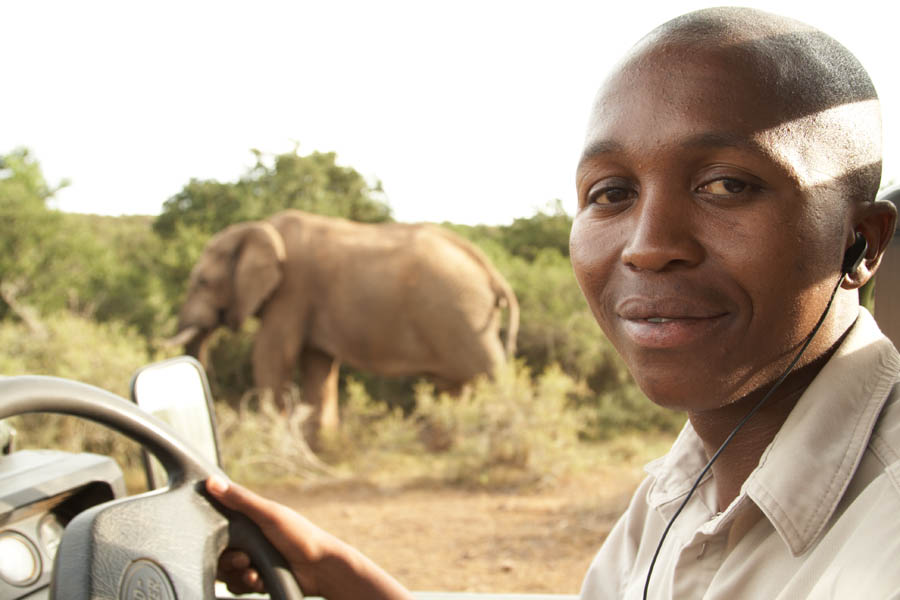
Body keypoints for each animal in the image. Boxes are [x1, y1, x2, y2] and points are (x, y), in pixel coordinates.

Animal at [169, 210, 520, 436]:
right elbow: (317, 365)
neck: (258, 228)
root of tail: (492, 272)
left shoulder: (292, 290)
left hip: (463, 315)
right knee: (454, 387)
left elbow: (273, 355)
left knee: (489, 376)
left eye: (202, 282)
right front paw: (322, 443)